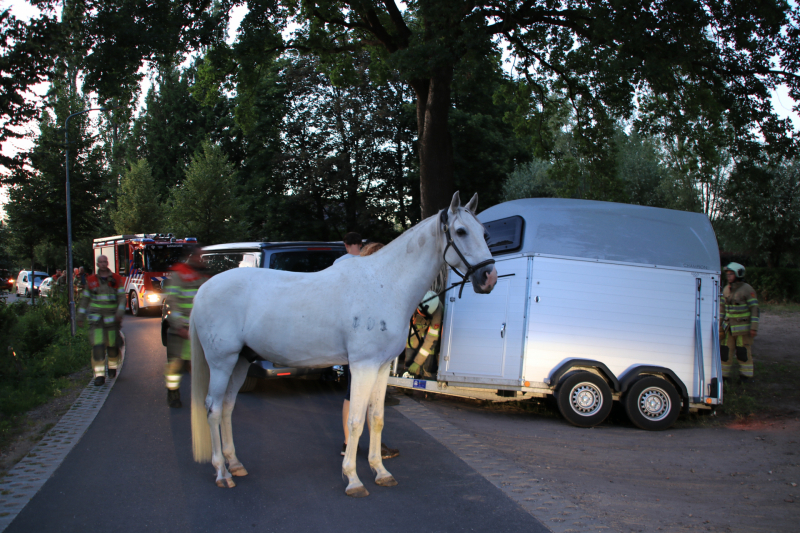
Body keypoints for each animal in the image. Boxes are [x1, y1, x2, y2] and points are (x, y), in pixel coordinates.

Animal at [189, 191, 498, 497]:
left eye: (484, 233)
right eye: (461, 231)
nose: (489, 278)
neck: (385, 285)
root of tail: (204, 289)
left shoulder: (381, 367)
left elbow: (377, 418)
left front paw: (381, 472)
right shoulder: (362, 366)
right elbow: (356, 421)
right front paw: (353, 479)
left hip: (241, 360)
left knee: (227, 406)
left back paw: (235, 464)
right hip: (222, 361)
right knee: (213, 408)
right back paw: (222, 473)